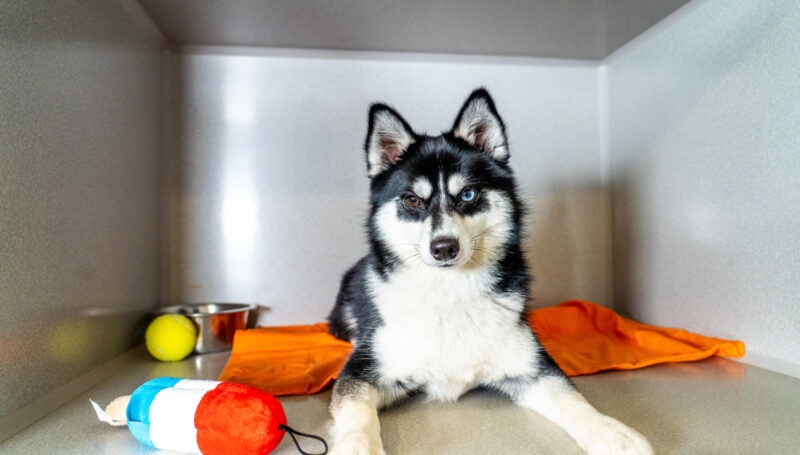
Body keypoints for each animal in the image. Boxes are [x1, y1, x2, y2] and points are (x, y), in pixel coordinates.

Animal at [328, 89, 652, 455]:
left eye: (468, 194)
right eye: (412, 200)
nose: (444, 248)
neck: (449, 293)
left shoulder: (533, 369)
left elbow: (574, 401)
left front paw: (613, 433)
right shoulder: (361, 371)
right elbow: (358, 413)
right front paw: (356, 448)